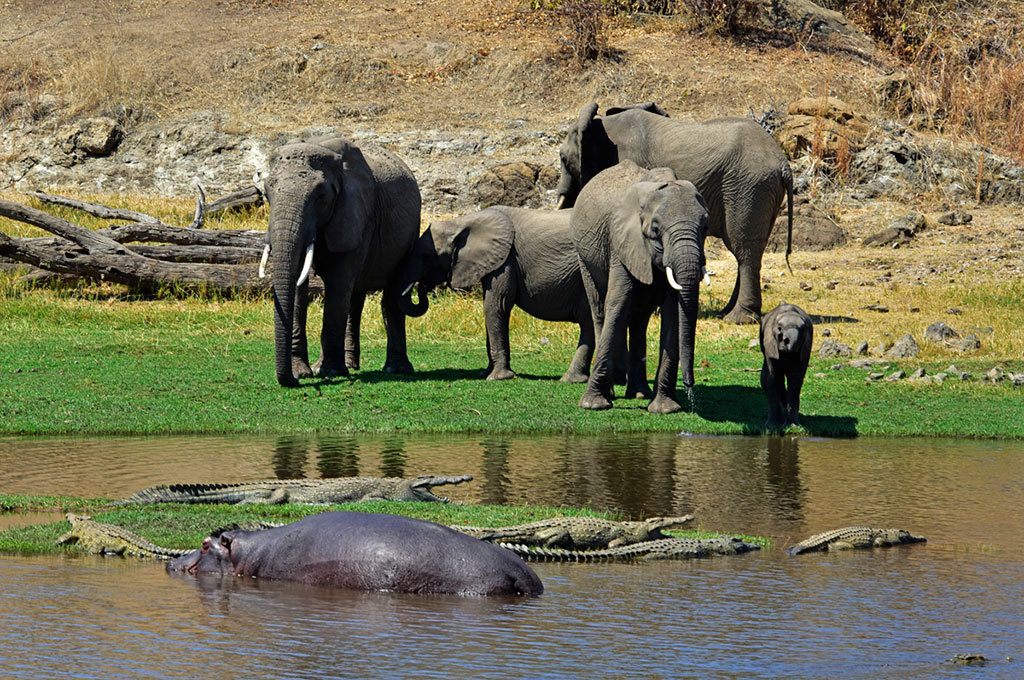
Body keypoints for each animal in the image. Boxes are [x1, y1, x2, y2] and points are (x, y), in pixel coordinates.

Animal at [260, 135, 419, 385]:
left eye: (321, 196)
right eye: (267, 194)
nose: (293, 382)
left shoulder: (358, 213)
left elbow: (338, 286)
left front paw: (330, 372)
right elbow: (299, 284)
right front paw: (303, 372)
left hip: (411, 233)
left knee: (390, 296)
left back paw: (395, 369)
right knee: (354, 299)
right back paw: (350, 366)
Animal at [395, 204, 598, 383]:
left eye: (428, 255)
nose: (423, 286)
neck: (461, 222)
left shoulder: (506, 260)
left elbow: (495, 305)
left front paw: (497, 377)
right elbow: (491, 308)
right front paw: (486, 373)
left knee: (588, 322)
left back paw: (570, 379)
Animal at [557, 99, 794, 325]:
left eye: (562, 158)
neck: (602, 126)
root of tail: (783, 164)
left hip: (748, 189)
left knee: (743, 249)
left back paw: (737, 319)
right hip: (761, 191)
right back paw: (726, 313)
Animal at [573, 160, 708, 413]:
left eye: (705, 226)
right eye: (655, 230)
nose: (689, 384)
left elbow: (673, 312)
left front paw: (665, 409)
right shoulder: (621, 244)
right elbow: (618, 303)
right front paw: (593, 405)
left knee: (639, 320)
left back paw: (639, 393)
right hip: (584, 257)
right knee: (600, 310)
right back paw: (612, 393)